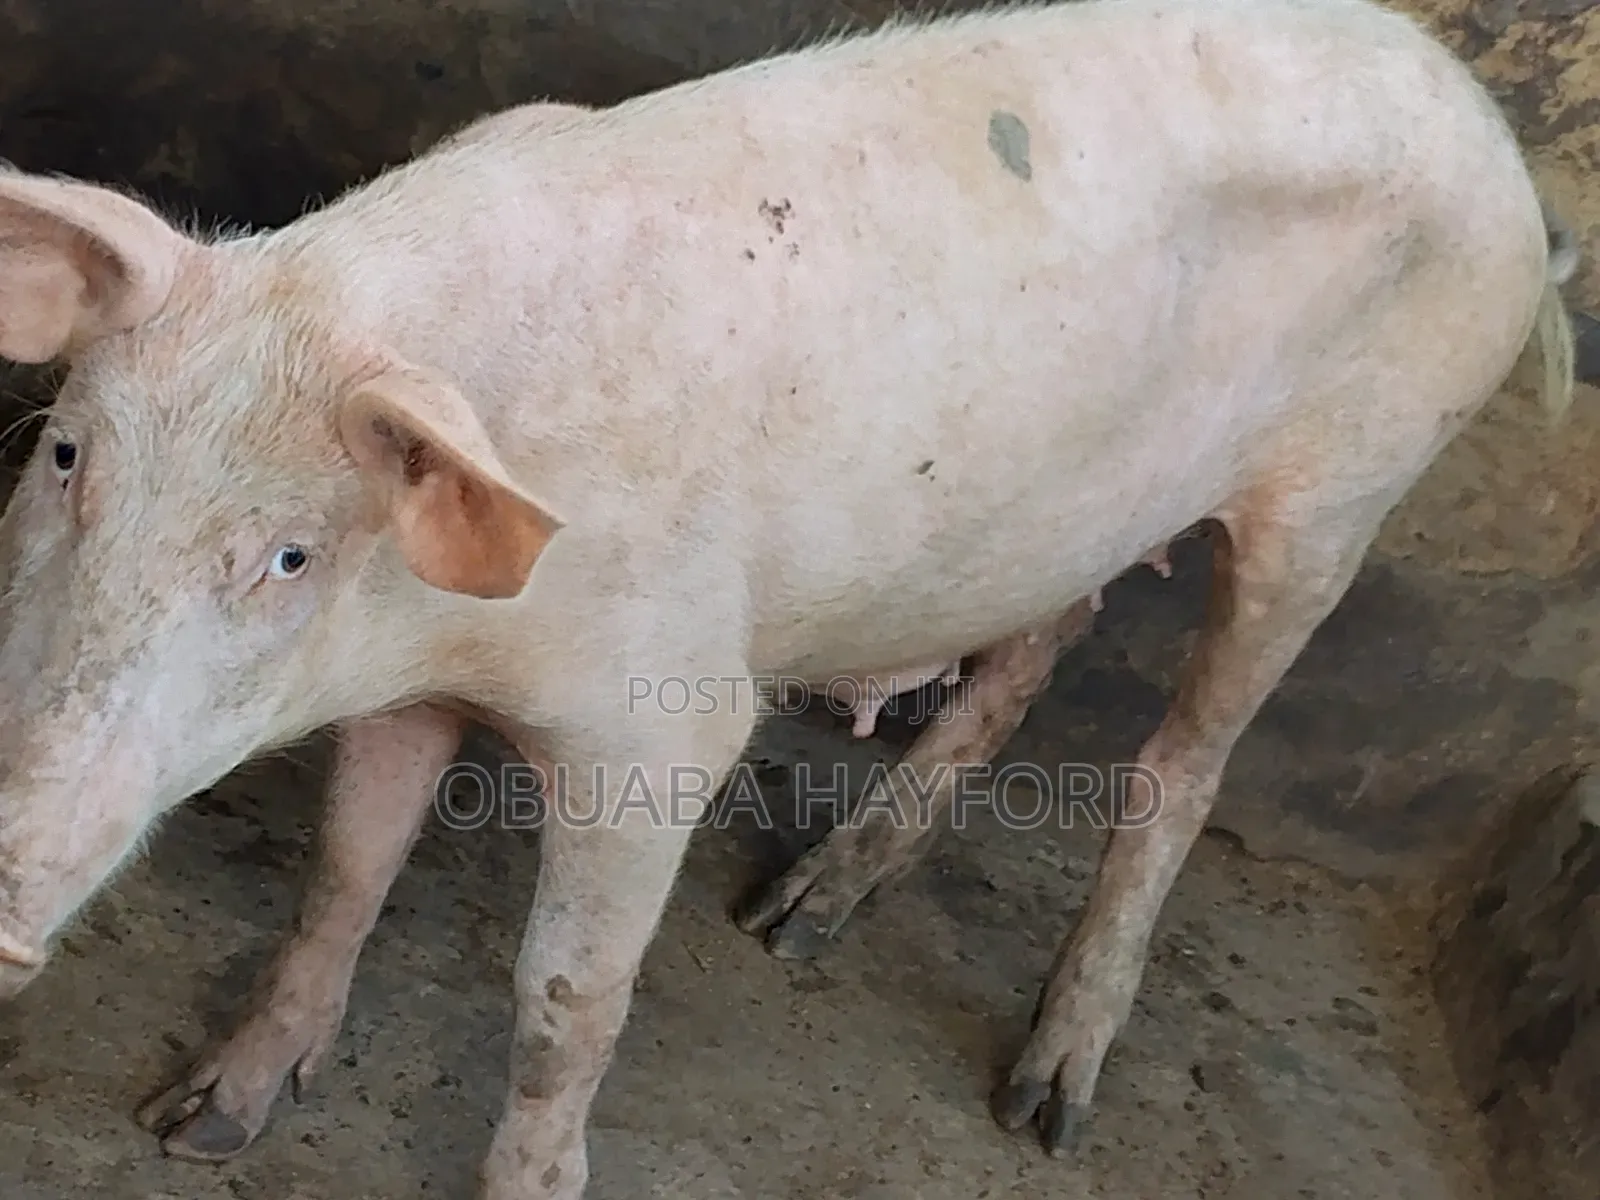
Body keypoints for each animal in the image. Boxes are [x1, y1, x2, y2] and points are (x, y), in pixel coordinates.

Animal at [0, 0, 1581, 1193]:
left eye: (288, 556)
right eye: (67, 454)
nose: (10, 902)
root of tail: (1487, 126)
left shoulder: (666, 721)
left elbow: (562, 1002)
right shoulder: (413, 686)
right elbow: (342, 875)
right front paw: (197, 1122)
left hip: (1349, 491)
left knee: (1187, 760)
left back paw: (1044, 1104)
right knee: (1041, 642)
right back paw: (799, 917)